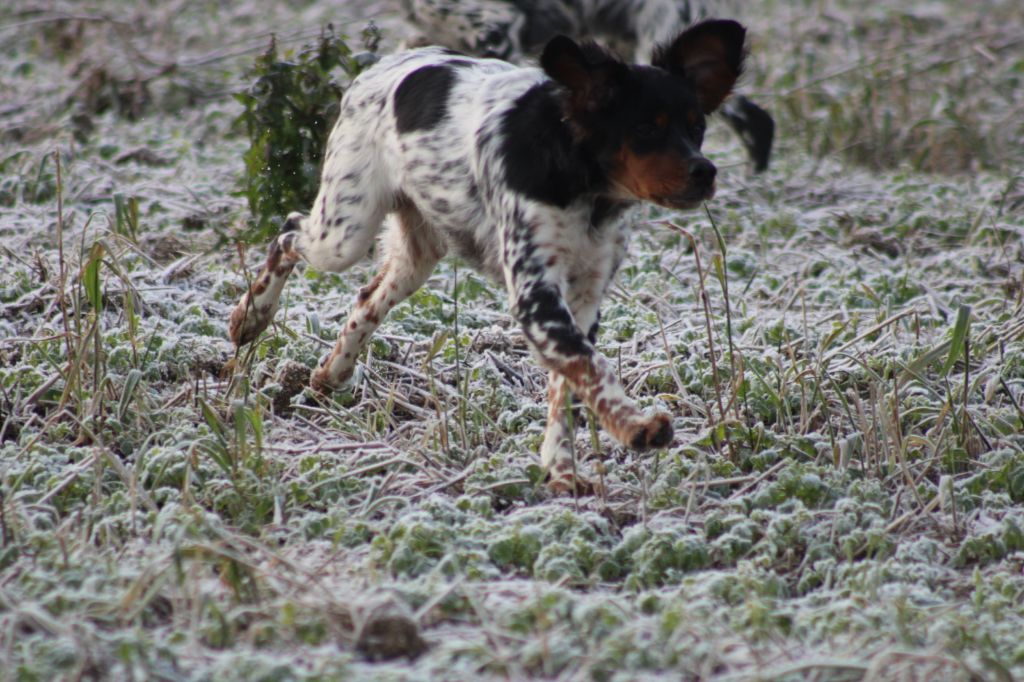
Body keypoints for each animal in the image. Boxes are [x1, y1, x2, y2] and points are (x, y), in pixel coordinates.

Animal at [228, 19, 747, 492]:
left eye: (697, 126)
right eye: (644, 129)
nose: (705, 172)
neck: (582, 184)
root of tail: (379, 67)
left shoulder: (585, 296)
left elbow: (571, 387)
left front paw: (562, 471)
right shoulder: (536, 294)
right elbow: (591, 368)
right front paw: (637, 427)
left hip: (418, 254)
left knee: (366, 299)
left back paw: (331, 373)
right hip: (345, 230)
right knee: (288, 231)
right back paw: (250, 316)